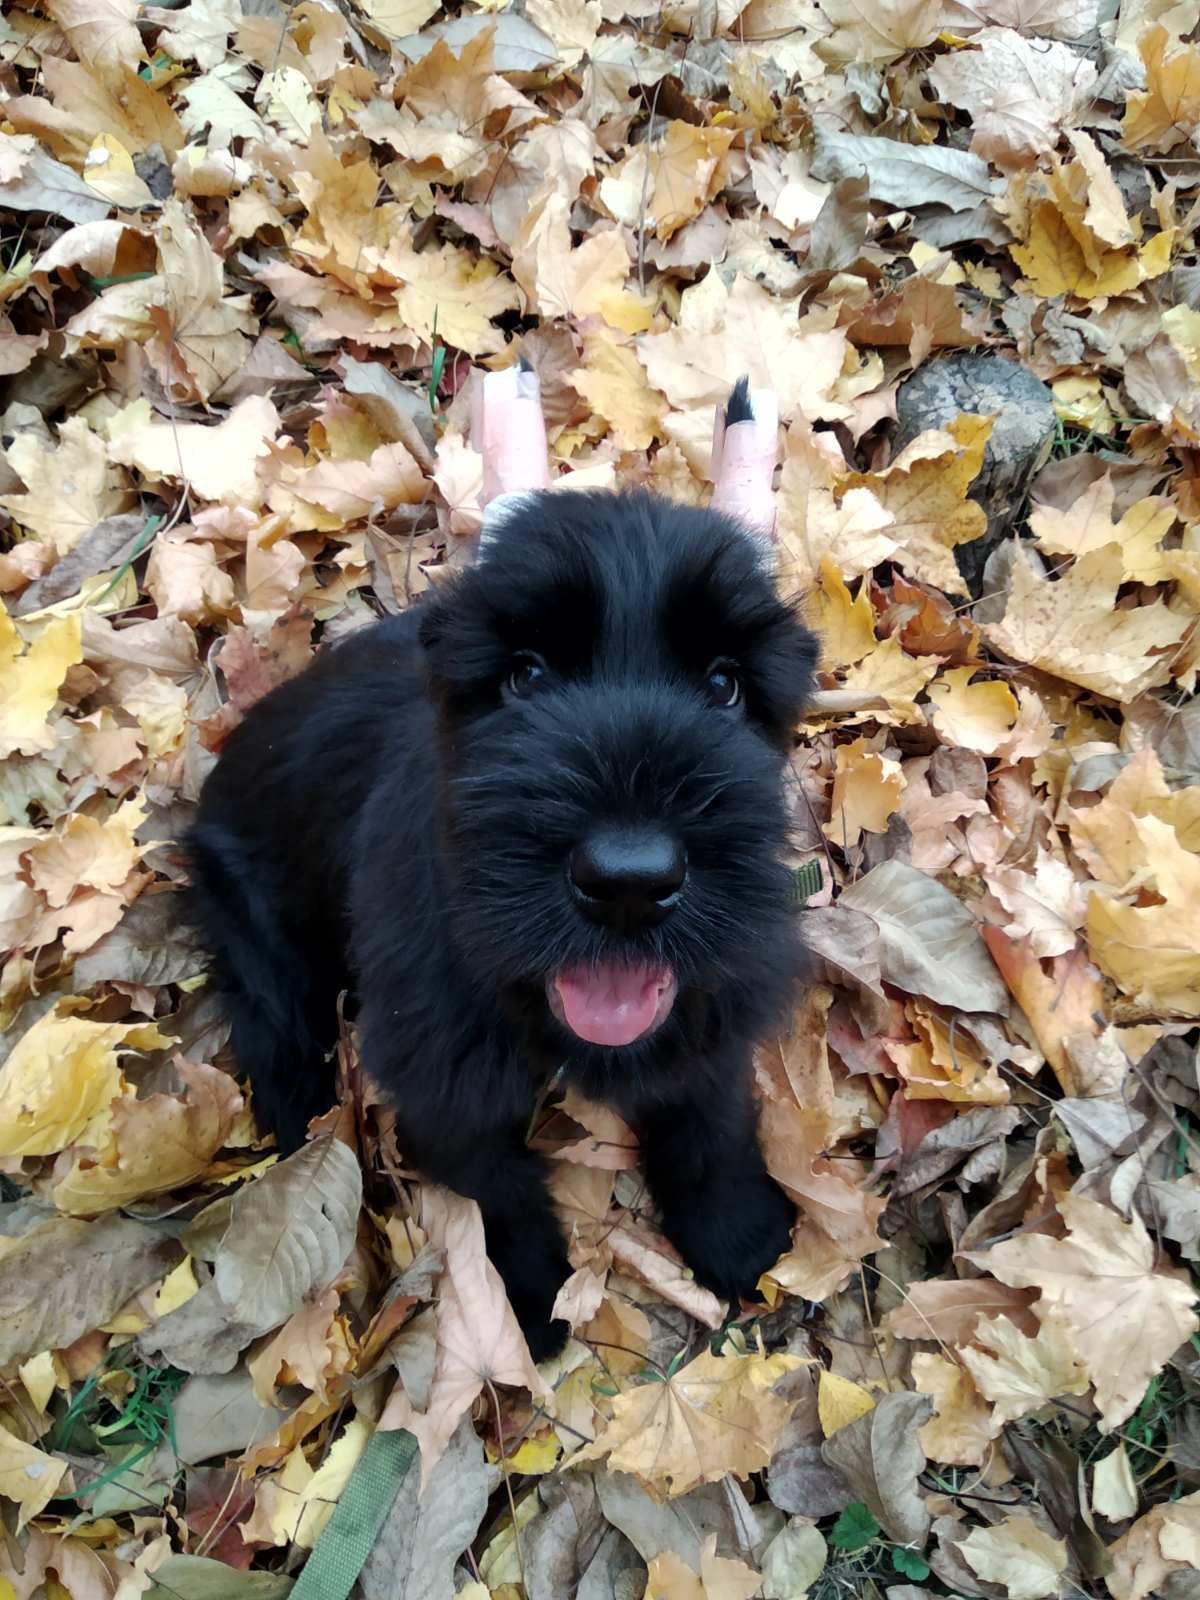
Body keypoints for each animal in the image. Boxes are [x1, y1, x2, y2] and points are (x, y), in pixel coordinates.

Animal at [190, 406, 819, 1356]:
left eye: (725, 685)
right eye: (524, 674)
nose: (629, 882)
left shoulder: (706, 1003)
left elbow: (707, 1112)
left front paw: (734, 1227)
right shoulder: (443, 1082)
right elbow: (498, 1191)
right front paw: (528, 1299)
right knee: (273, 1014)